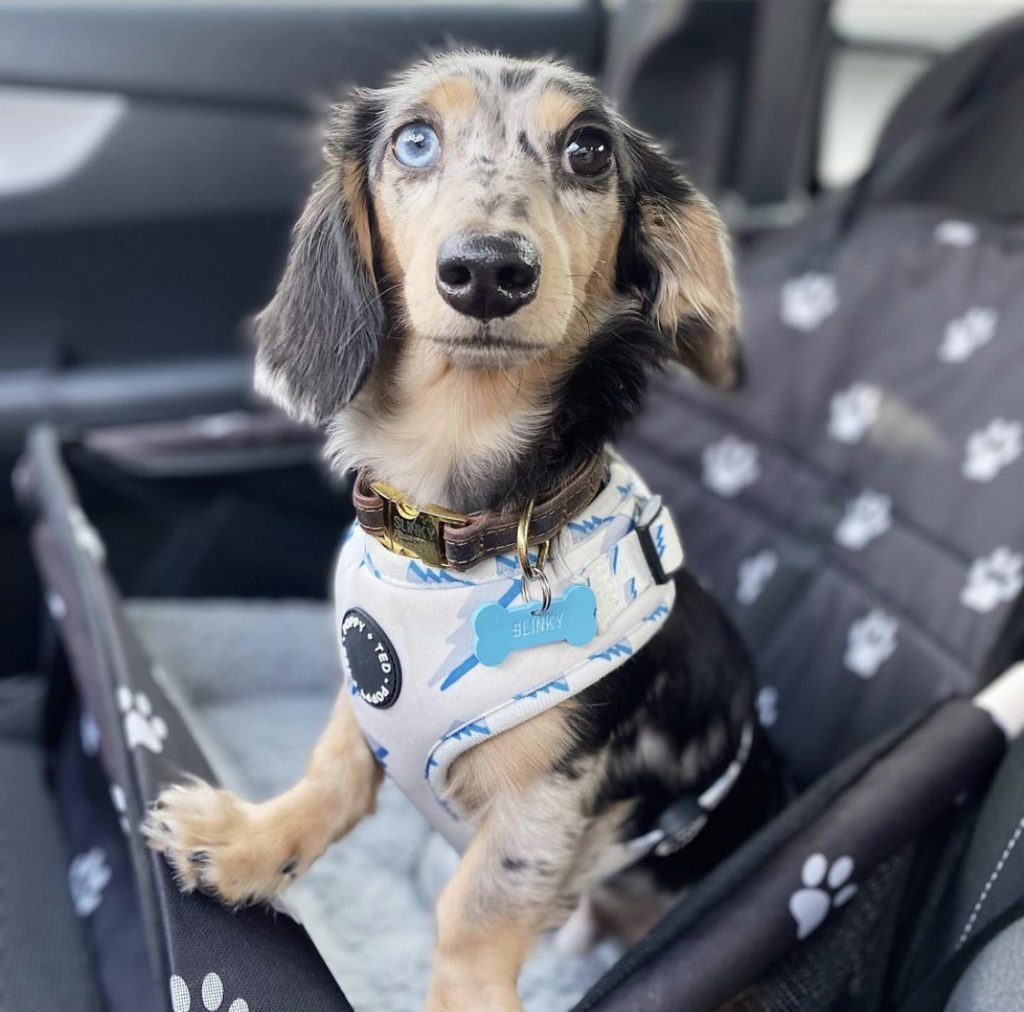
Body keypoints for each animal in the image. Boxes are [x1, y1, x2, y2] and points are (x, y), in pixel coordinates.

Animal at [146, 51, 782, 1007]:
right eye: (414, 141)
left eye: (590, 149)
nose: (487, 270)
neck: (460, 534)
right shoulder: (364, 695)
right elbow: (333, 775)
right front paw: (249, 842)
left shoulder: (548, 802)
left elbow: (472, 912)